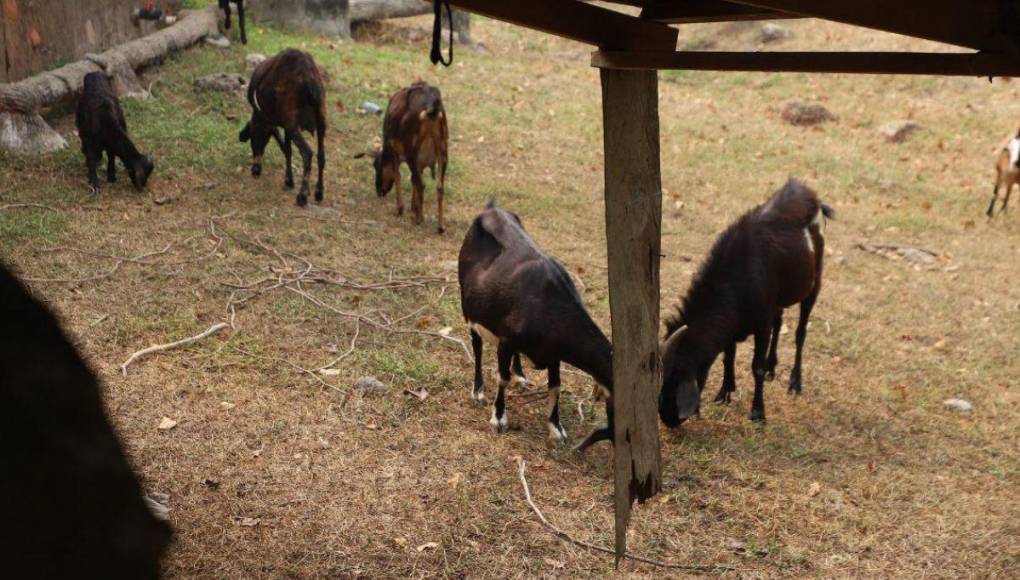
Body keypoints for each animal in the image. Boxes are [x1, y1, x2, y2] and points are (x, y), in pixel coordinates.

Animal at [239, 48, 326, 205]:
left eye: (253, 138)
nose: (255, 170)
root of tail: (310, 81)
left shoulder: (277, 122)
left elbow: (285, 148)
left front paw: (289, 181)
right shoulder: (284, 126)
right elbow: (287, 149)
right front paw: (289, 180)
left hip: (293, 125)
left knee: (307, 153)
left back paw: (302, 195)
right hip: (321, 122)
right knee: (321, 156)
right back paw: (318, 193)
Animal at [369, 81, 444, 233]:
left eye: (376, 165)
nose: (379, 191)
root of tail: (431, 109)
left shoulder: (394, 149)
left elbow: (398, 175)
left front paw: (400, 209)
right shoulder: (420, 162)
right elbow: (413, 178)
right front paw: (414, 207)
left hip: (411, 152)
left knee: (422, 184)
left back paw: (418, 219)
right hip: (442, 148)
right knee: (439, 186)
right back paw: (439, 226)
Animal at [461, 200, 612, 450]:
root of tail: (491, 208)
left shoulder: (553, 354)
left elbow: (555, 386)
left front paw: (556, 428)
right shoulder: (506, 341)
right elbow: (501, 377)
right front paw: (499, 419)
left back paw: (520, 375)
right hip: (470, 312)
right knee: (477, 346)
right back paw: (478, 391)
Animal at [656, 177, 832, 426]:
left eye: (675, 380)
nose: (668, 419)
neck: (736, 277)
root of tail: (809, 194)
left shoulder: (761, 325)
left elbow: (755, 365)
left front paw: (758, 413)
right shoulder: (735, 319)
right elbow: (728, 355)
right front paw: (725, 392)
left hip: (814, 282)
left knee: (800, 332)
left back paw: (795, 382)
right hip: (778, 299)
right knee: (779, 321)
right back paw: (772, 366)